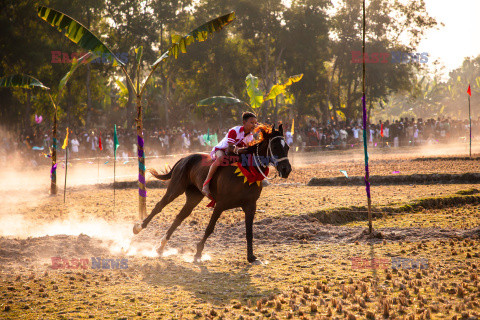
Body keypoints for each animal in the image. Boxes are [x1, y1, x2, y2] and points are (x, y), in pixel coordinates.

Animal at [132, 123, 292, 262]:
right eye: (275, 146)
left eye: (288, 147)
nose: (286, 169)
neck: (247, 171)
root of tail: (185, 158)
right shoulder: (220, 204)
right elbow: (210, 228)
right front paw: (198, 253)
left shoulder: (250, 206)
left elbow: (249, 232)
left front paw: (251, 256)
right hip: (175, 188)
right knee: (159, 206)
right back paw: (139, 228)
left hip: (194, 197)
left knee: (180, 217)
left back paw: (161, 246)